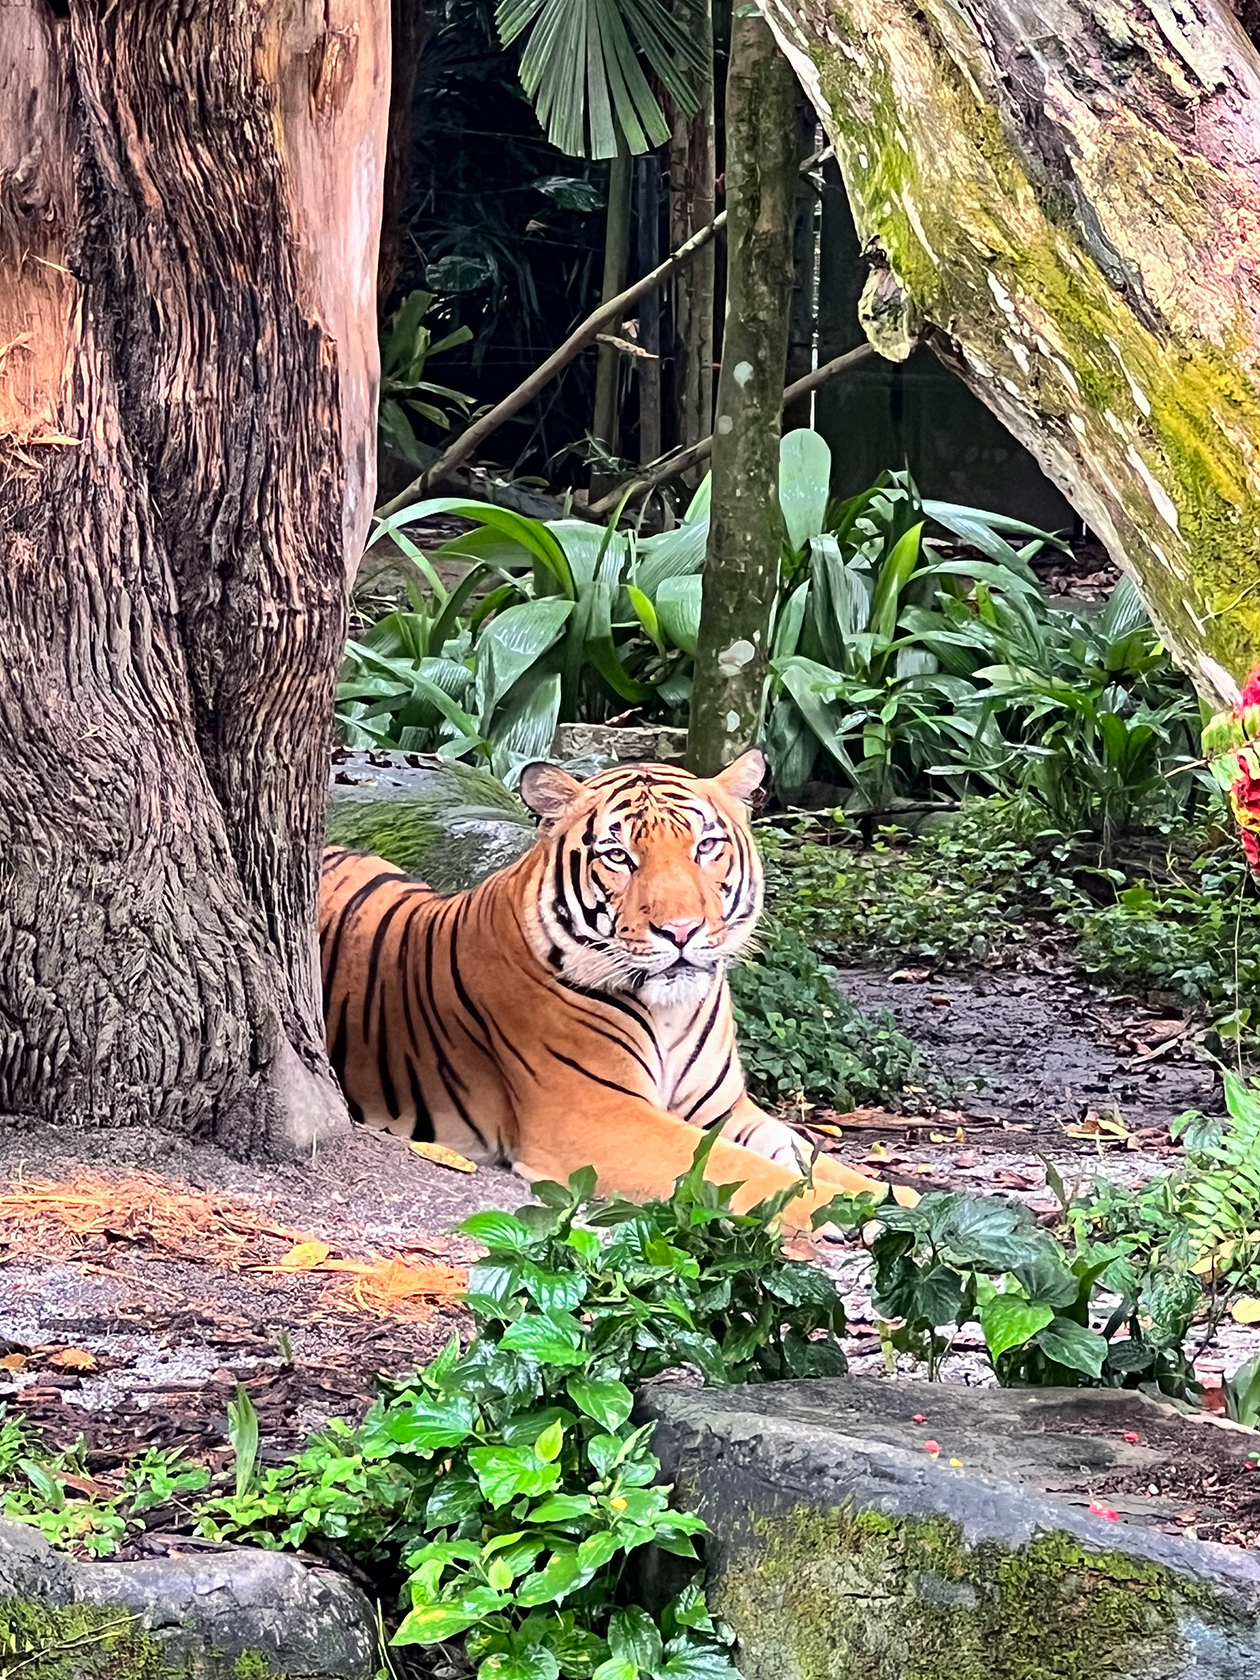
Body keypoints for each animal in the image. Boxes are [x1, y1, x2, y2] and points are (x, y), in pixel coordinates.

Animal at [320, 756, 920, 1229]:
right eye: (618, 857)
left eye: (706, 847)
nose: (681, 931)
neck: (673, 1011)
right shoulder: (599, 1117)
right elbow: (750, 1170)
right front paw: (841, 1211)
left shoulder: (726, 1111)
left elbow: (817, 1158)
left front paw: (903, 1201)